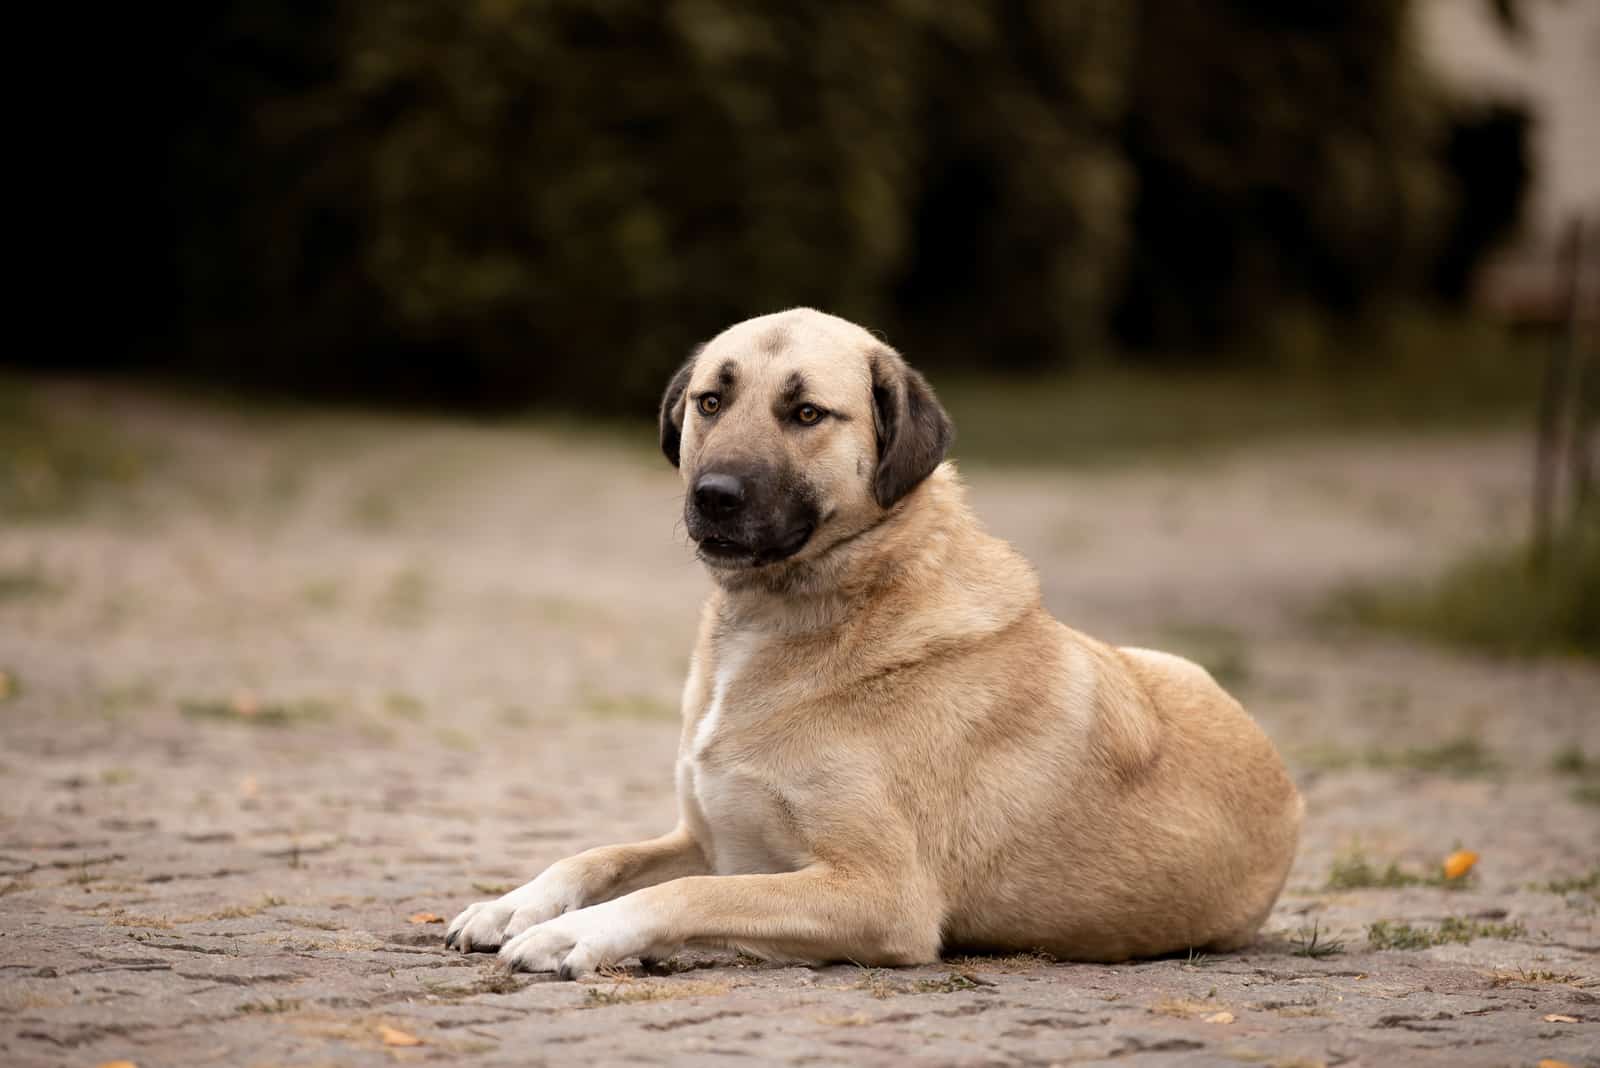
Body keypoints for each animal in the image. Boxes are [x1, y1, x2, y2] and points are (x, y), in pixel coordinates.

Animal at [444, 306, 1305, 978]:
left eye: (807, 414)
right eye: (711, 401)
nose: (712, 497)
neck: (789, 613)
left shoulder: (881, 894)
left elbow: (685, 891)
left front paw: (577, 934)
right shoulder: (714, 837)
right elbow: (601, 855)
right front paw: (513, 905)